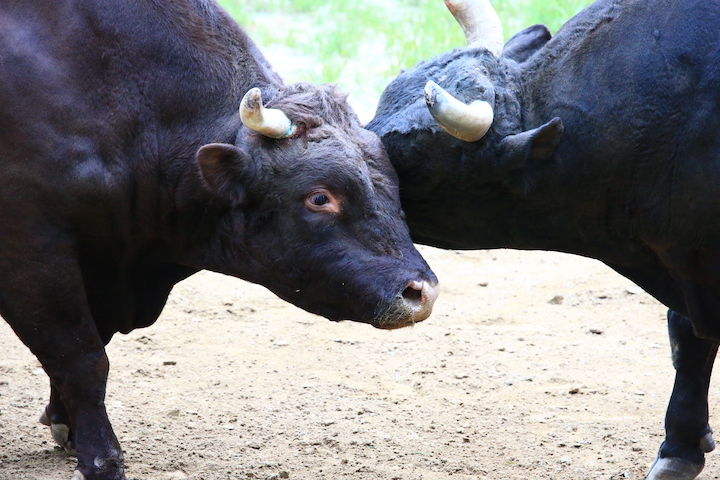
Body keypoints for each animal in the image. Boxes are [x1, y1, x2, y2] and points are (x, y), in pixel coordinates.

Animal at [0, 0, 438, 480]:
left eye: (393, 182)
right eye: (320, 197)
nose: (421, 291)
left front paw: (65, 423)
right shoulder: (31, 248)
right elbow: (82, 358)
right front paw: (101, 457)